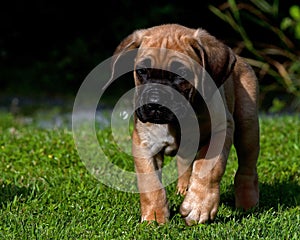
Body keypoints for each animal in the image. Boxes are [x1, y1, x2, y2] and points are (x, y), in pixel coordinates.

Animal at [111, 23, 258, 225]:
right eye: (142, 71)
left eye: (182, 75)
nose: (155, 102)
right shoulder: (144, 142)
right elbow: (149, 182)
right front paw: (154, 215)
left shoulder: (221, 129)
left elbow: (208, 169)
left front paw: (198, 207)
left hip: (247, 126)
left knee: (247, 168)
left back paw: (247, 202)